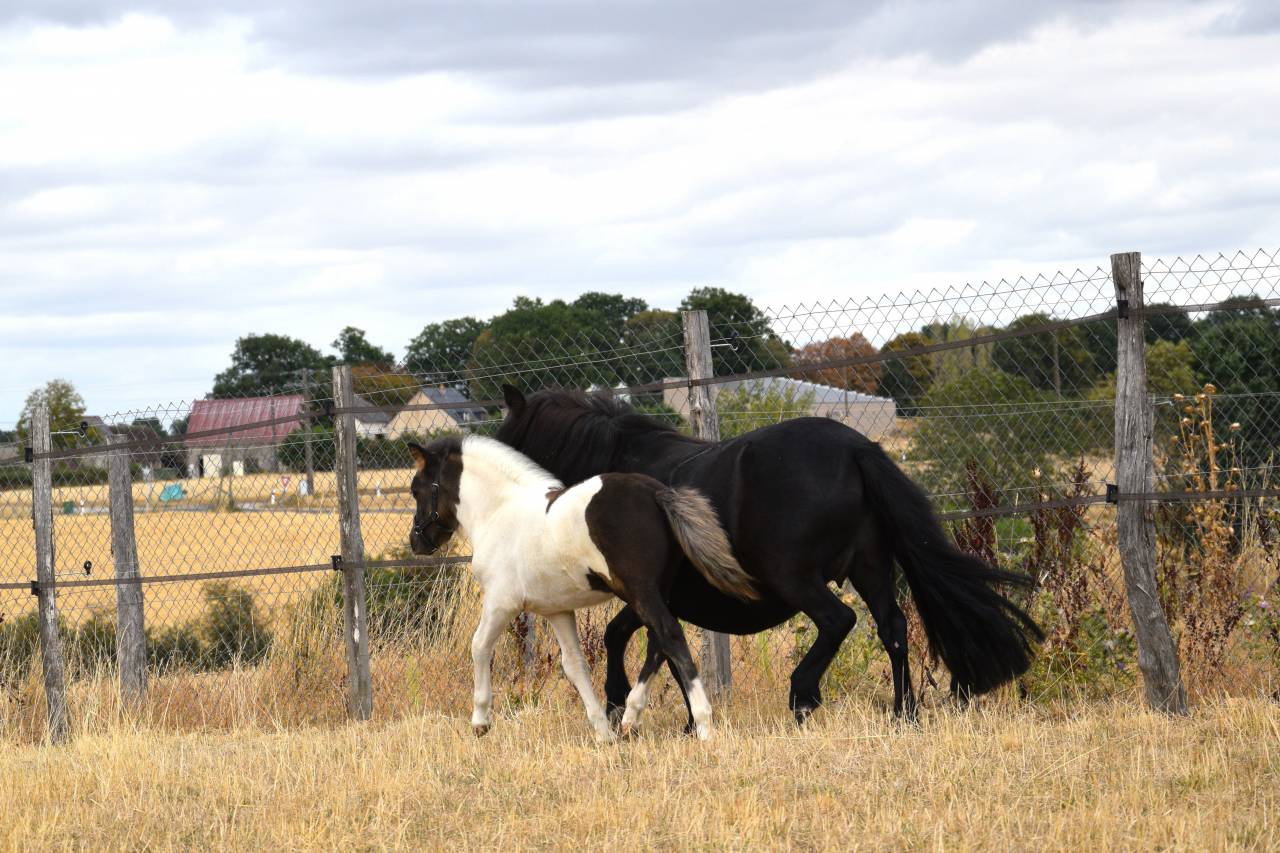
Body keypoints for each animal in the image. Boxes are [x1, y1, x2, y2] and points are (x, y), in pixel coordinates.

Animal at [406, 434, 758, 741]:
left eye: (417, 489)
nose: (416, 542)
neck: (499, 514)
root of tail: (657, 493)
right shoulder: (558, 611)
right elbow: (574, 665)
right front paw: (602, 732)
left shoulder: (501, 602)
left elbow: (479, 647)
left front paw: (480, 721)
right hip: (659, 591)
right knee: (658, 644)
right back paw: (630, 718)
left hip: (641, 591)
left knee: (670, 636)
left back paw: (703, 724)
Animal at [495, 385, 1044, 727]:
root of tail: (855, 449)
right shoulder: (659, 599)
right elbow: (666, 651)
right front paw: (687, 721)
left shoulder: (644, 591)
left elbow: (626, 638)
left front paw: (621, 704)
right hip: (871, 567)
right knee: (893, 628)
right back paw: (902, 713)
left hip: (794, 576)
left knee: (838, 620)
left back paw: (803, 695)